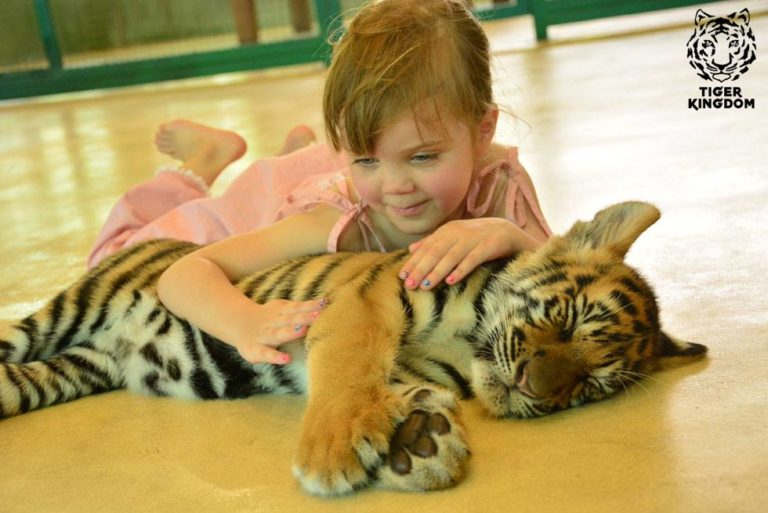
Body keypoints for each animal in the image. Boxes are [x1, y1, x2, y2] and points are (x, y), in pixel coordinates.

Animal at [0, 201, 706, 496]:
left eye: (591, 385)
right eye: (566, 320)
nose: (536, 388)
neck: (465, 344)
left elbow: (389, 390)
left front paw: (418, 441)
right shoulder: (365, 300)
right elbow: (348, 368)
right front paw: (333, 455)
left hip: (66, 372)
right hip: (60, 318)